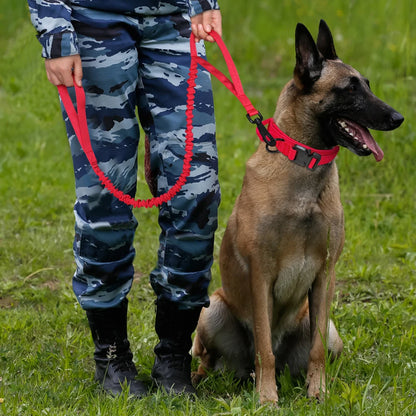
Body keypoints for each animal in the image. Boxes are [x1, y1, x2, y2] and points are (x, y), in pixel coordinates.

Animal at [191, 19, 404, 404]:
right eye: (349, 89)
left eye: (367, 85)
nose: (398, 118)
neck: (303, 164)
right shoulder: (260, 275)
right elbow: (264, 350)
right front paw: (267, 399)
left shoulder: (325, 275)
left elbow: (315, 351)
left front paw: (318, 393)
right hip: (211, 310)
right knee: (211, 357)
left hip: (330, 329)